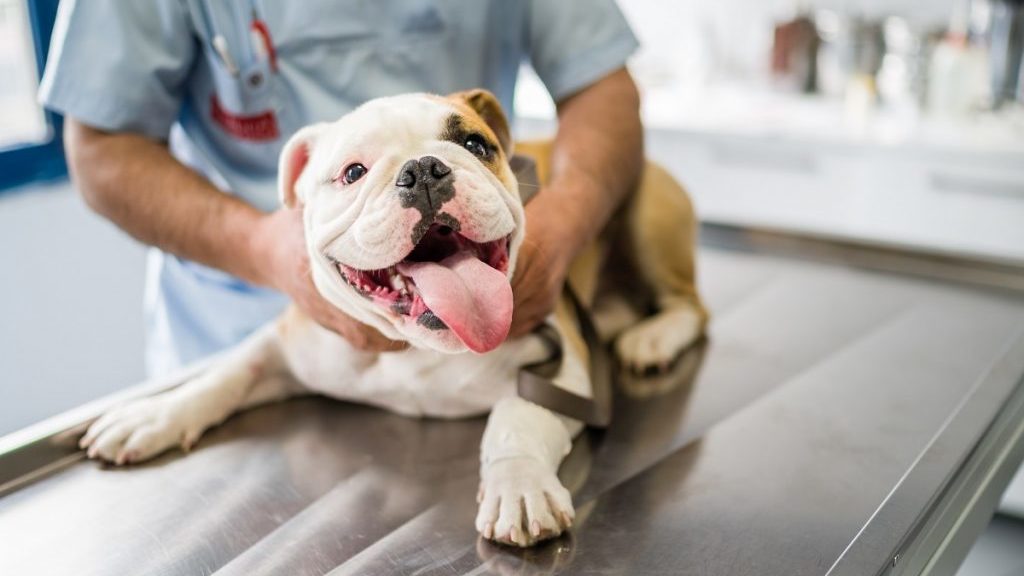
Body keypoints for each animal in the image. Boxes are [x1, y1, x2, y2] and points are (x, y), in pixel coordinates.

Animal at [79, 88, 708, 541]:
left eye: (475, 145)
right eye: (353, 172)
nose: (424, 168)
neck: (416, 345)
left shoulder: (563, 363)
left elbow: (516, 418)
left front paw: (518, 485)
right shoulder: (288, 344)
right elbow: (228, 373)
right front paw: (156, 413)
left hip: (647, 211)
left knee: (691, 306)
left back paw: (653, 339)